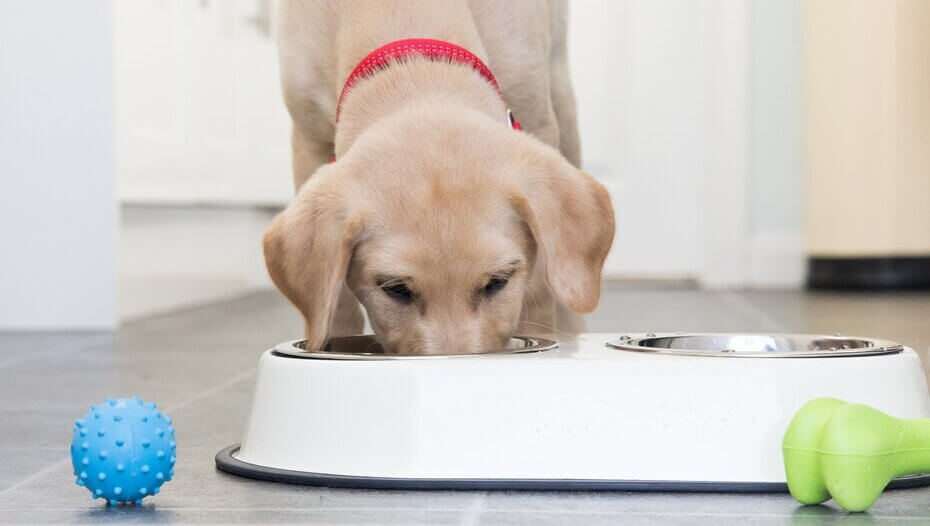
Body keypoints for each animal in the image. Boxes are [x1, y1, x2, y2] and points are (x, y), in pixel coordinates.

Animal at [264, 1, 612, 354]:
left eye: (497, 282)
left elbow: (541, 286)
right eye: (395, 289)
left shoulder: (532, 112)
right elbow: (335, 304)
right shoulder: (308, 141)